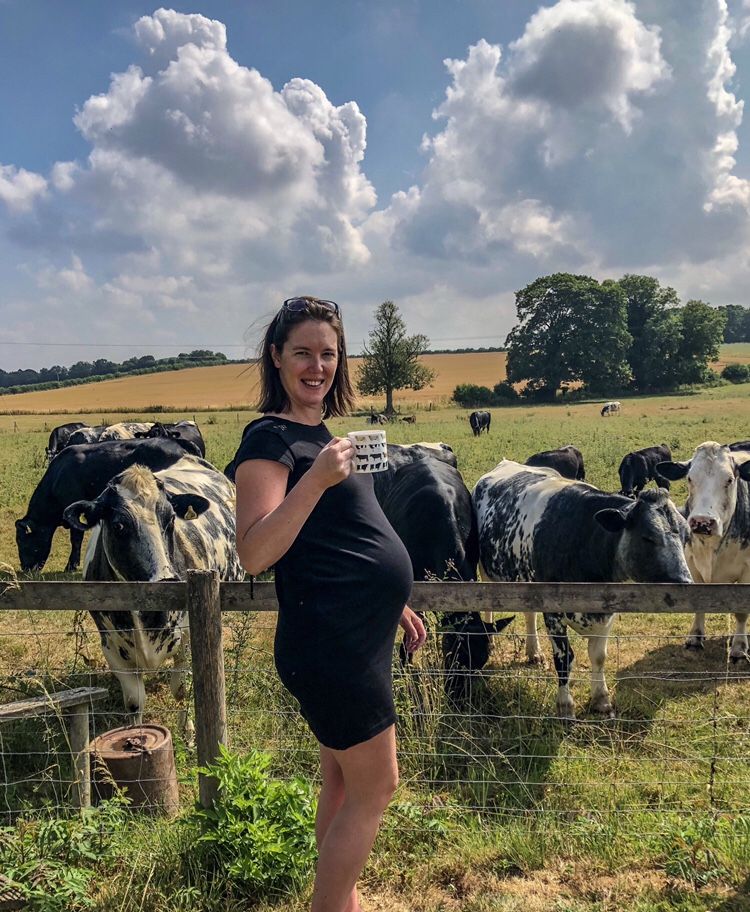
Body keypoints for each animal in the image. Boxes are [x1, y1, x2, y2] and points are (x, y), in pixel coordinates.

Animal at [62, 456, 244, 728]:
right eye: (119, 525)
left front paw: (187, 730)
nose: (166, 579)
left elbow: (181, 689)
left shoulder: (187, 640)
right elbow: (134, 701)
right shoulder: (112, 648)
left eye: (170, 520)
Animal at [476, 464, 692, 720]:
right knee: (488, 604)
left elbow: (599, 657)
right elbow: (564, 659)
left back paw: (533, 651)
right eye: (648, 537)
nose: (684, 580)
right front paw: (565, 706)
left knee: (529, 614)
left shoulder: (607, 613)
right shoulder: (554, 614)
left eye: (687, 536)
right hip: (486, 571)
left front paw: (601, 699)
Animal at [656, 440, 750, 660]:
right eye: (690, 478)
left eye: (729, 479)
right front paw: (695, 638)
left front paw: (739, 647)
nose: (702, 522)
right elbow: (698, 603)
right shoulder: (692, 564)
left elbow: (742, 610)